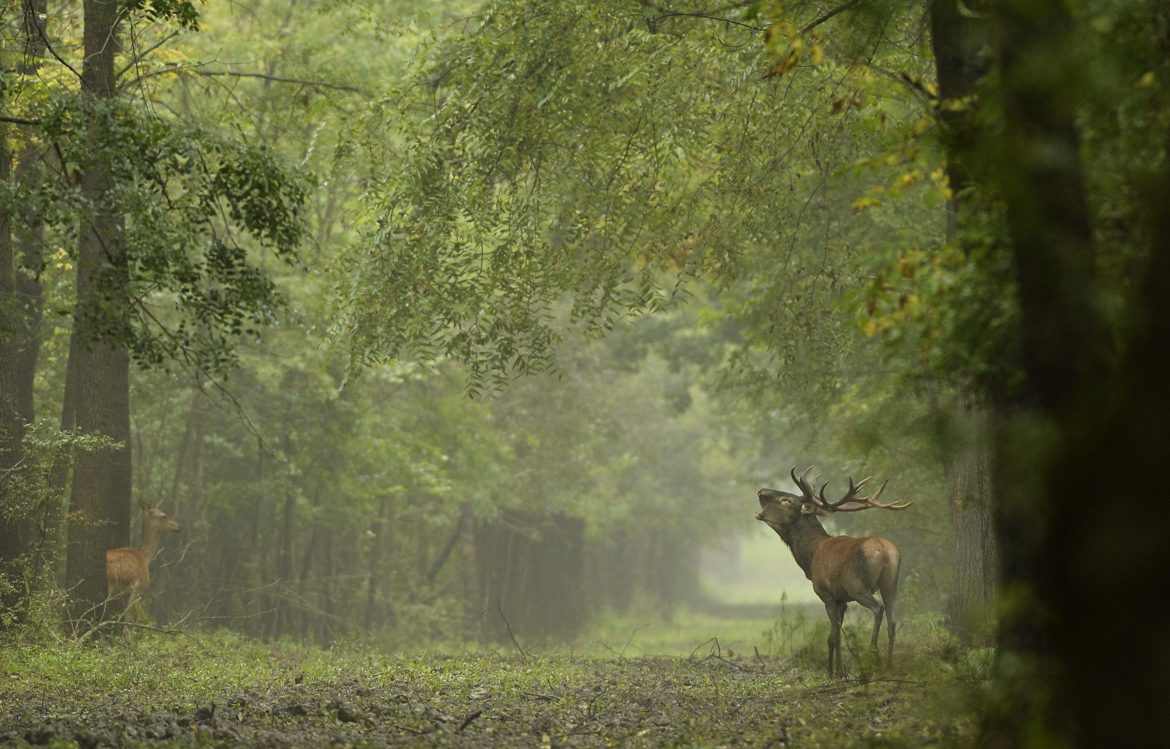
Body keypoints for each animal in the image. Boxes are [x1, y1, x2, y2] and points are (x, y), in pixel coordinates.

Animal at [107, 503, 182, 631]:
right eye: (164, 515)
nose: (179, 527)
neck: (145, 556)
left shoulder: (122, 591)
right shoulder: (138, 585)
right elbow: (128, 621)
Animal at [758, 465, 912, 674]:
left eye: (786, 500)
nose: (761, 491)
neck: (810, 557)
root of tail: (887, 552)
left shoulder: (826, 593)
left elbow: (832, 637)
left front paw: (832, 672)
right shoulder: (842, 600)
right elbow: (838, 634)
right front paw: (838, 670)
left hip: (857, 586)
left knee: (878, 608)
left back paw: (873, 654)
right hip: (891, 584)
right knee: (893, 620)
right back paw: (888, 665)